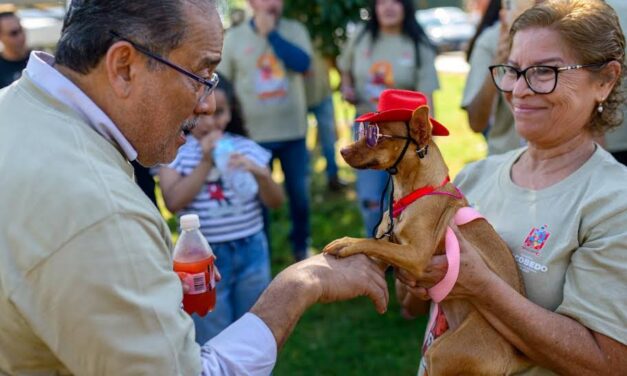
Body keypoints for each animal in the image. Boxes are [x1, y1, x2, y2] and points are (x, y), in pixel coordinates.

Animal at [326, 89, 528, 374]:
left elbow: (376, 243)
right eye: (363, 131)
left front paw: (347, 242)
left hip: (440, 353)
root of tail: (514, 357)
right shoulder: (393, 249)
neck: (412, 194)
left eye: (375, 137)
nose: (341, 150)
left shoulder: (417, 255)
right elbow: (379, 245)